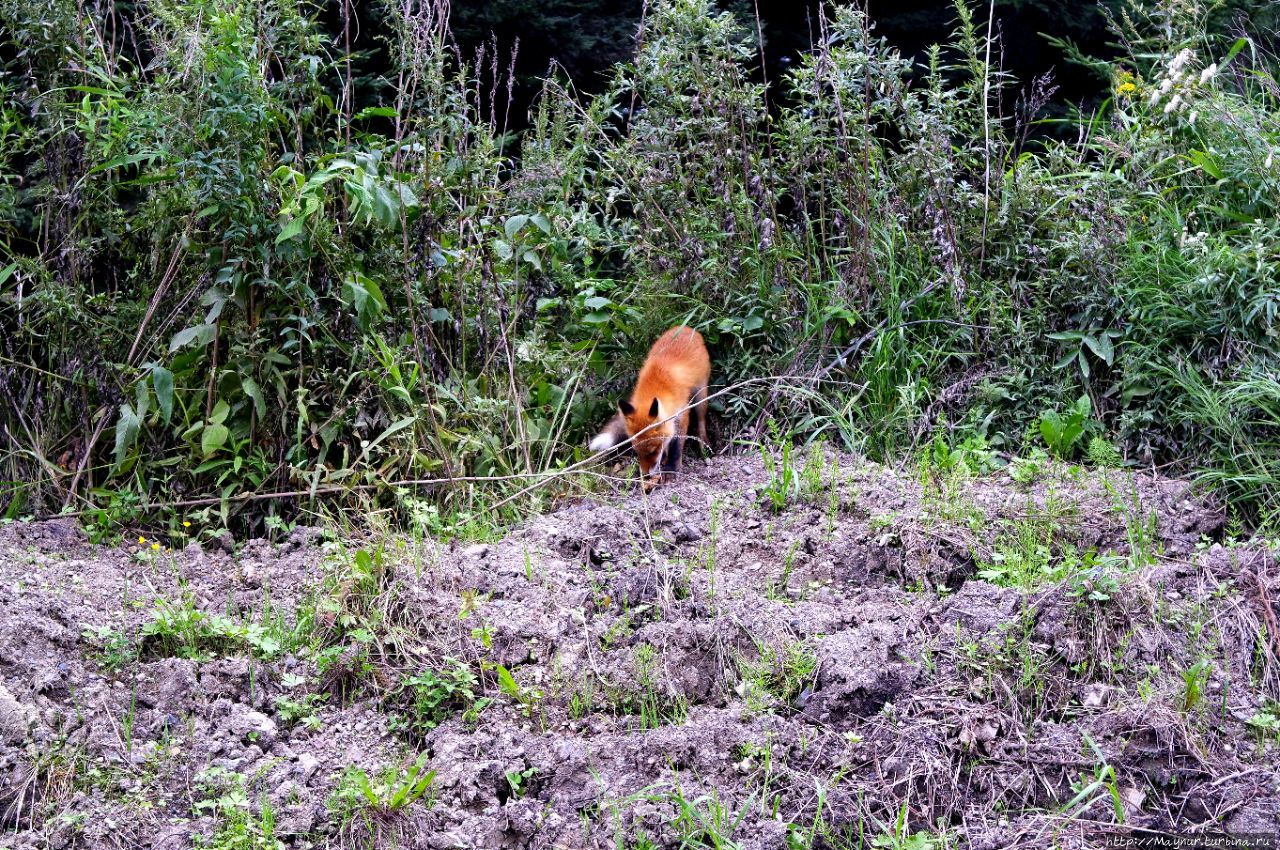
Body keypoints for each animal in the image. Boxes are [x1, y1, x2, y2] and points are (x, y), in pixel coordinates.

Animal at [586, 323, 711, 491]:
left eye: (652, 451)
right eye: (636, 451)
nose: (645, 475)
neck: (657, 385)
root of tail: (685, 327)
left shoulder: (682, 413)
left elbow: (677, 446)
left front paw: (671, 468)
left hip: (701, 393)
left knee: (701, 419)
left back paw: (703, 443)